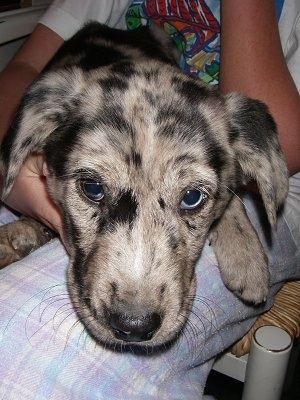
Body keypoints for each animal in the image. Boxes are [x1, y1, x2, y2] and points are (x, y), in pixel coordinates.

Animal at [0, 22, 288, 346]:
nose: (134, 326)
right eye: (92, 188)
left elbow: (233, 197)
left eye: (192, 197)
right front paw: (22, 230)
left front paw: (247, 258)